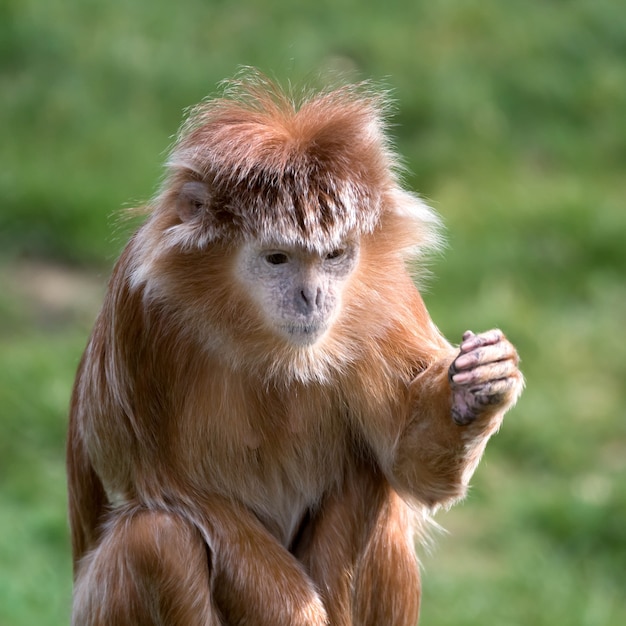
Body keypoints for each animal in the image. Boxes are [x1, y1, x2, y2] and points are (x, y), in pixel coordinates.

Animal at [67, 70, 520, 620]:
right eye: (278, 258)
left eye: (333, 256)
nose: (313, 296)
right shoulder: (138, 317)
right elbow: (177, 491)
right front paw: (296, 613)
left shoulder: (388, 298)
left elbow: (413, 470)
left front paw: (475, 390)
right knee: (157, 539)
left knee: (376, 491)